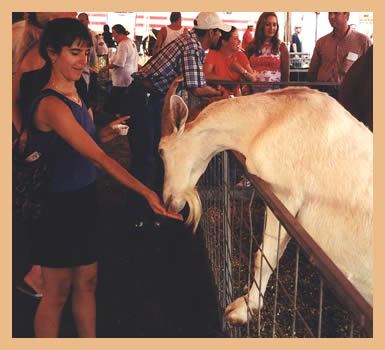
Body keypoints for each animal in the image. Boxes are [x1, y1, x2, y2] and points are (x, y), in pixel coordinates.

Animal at [159, 78, 372, 324]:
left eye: (161, 151)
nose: (168, 202)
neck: (271, 119)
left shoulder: (283, 195)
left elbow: (264, 256)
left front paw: (243, 309)